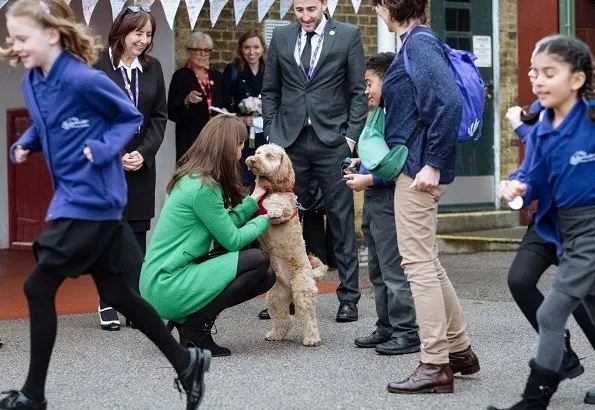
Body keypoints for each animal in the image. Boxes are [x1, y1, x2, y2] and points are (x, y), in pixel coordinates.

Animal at [248, 144, 328, 346]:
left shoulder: (286, 206)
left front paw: (273, 210)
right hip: (275, 297)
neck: (271, 189)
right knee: (284, 319)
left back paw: (312, 338)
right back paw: (277, 333)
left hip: (302, 291)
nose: (252, 160)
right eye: (257, 153)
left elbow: (278, 204)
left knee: (309, 318)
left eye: (269, 155)